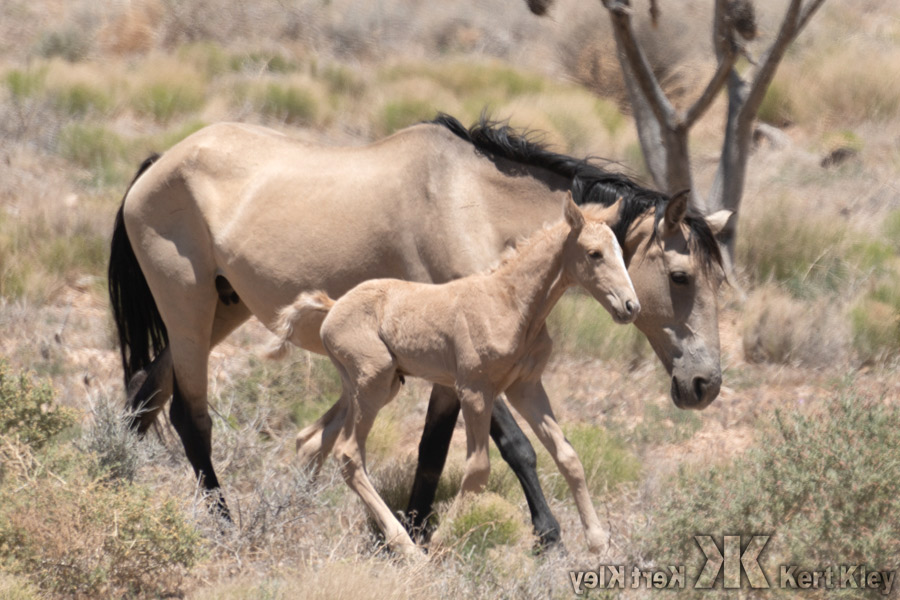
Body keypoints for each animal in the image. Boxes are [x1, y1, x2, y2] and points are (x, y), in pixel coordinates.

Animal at [272, 195, 637, 554]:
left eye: (620, 251)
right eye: (594, 253)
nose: (631, 306)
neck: (511, 305)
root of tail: (333, 306)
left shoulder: (526, 387)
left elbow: (567, 455)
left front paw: (597, 540)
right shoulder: (475, 390)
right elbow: (478, 468)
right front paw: (441, 542)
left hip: (375, 385)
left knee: (311, 439)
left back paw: (295, 519)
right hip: (373, 381)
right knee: (348, 454)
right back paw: (407, 548)